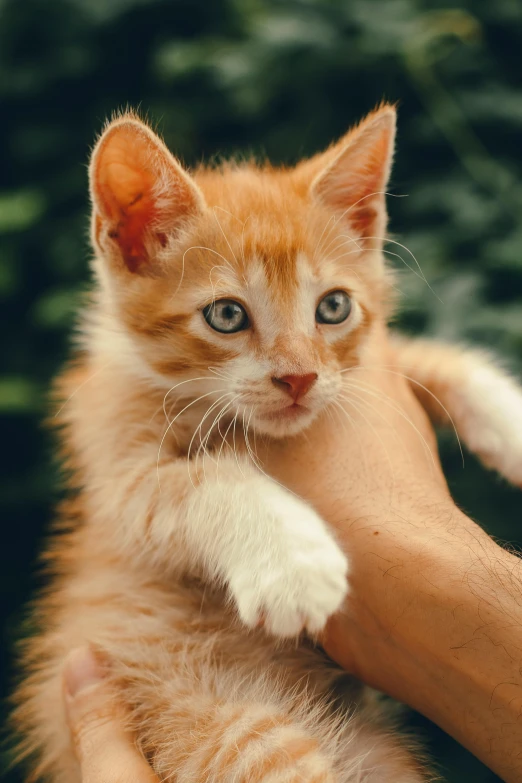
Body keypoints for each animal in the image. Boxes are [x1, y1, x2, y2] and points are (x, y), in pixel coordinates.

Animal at [10, 105, 520, 783]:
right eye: (226, 315)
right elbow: (204, 481)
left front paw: (511, 421)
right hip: (230, 732)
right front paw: (294, 562)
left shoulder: (360, 374)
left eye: (333, 307)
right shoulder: (116, 473)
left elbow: (427, 359)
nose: (299, 378)